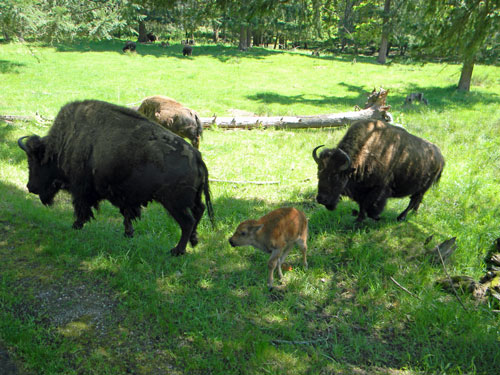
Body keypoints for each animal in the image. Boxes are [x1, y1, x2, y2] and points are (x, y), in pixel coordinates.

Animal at [17, 100, 213, 258]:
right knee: (199, 212)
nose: (30, 187)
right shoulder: (123, 196)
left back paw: (177, 250)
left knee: (187, 222)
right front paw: (128, 233)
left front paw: (76, 226)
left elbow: (81, 208)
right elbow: (126, 214)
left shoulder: (81, 189)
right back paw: (193, 242)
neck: (64, 143)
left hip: (174, 203)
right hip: (191, 200)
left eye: (35, 161)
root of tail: (197, 157)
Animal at [312, 119, 446, 223]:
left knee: (413, 200)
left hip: (422, 187)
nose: (321, 199)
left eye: (335, 176)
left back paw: (401, 217)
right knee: (417, 200)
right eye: (319, 173)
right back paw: (413, 213)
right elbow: (362, 206)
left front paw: (375, 217)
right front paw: (358, 219)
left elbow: (370, 206)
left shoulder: (378, 190)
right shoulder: (362, 191)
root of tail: (440, 156)